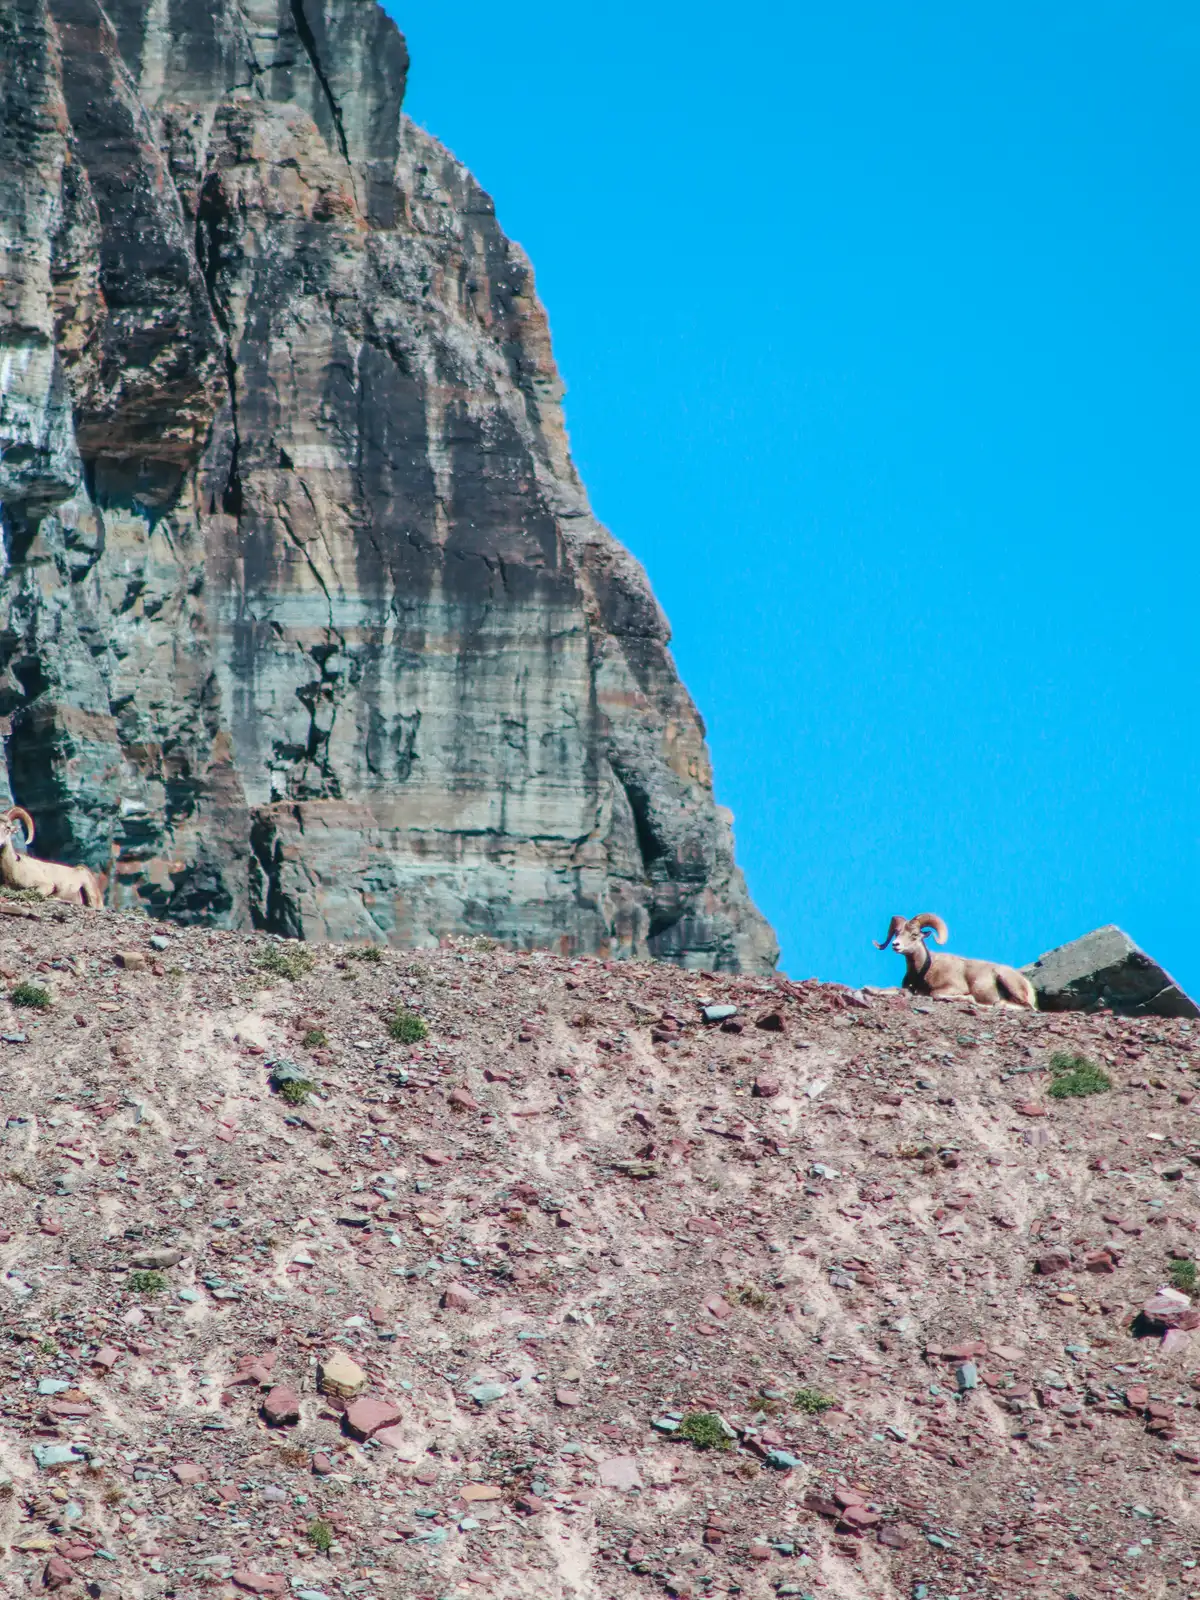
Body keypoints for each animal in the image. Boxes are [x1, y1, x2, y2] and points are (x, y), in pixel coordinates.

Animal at [874, 912, 1036, 1008]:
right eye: (897, 933)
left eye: (914, 935)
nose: (895, 945)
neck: (923, 972)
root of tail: (1026, 984)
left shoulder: (954, 987)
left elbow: (935, 994)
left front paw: (969, 999)